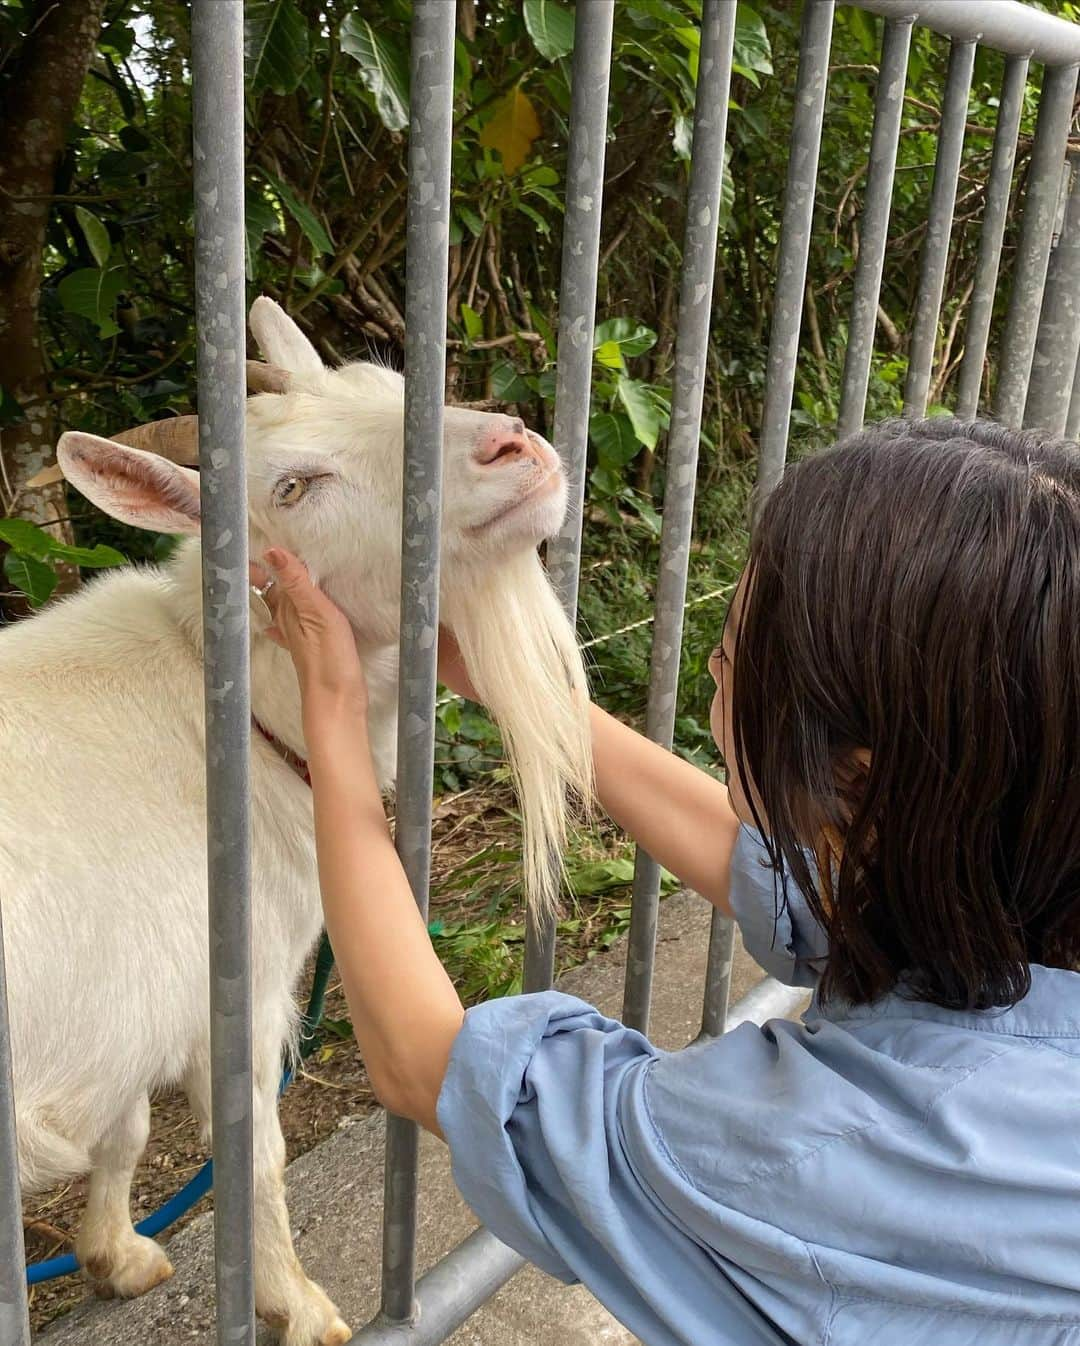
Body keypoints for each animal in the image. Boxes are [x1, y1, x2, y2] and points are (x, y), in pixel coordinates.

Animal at [0, 302, 589, 1346]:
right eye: (295, 485)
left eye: (393, 386)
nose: (513, 446)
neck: (225, 708)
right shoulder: (236, 980)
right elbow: (253, 1150)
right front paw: (300, 1307)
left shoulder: (135, 986)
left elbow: (127, 1123)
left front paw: (115, 1256)